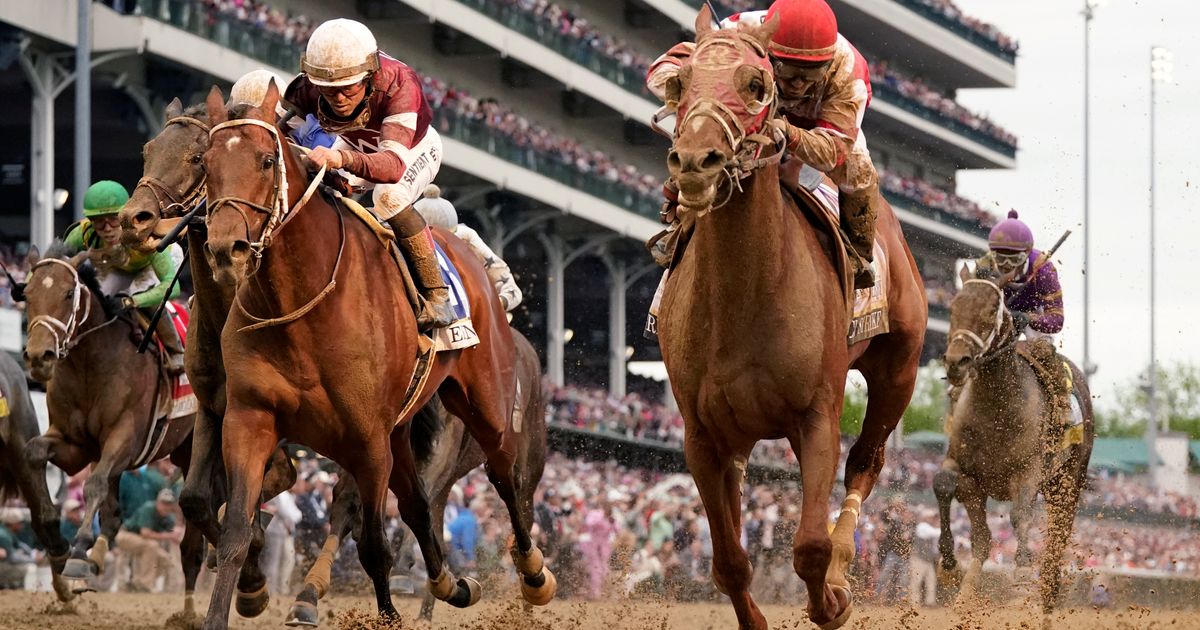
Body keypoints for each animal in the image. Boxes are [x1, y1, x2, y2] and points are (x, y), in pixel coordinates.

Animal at [19, 246, 204, 619]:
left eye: (68, 293)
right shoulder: (74, 444)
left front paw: (77, 554)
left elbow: (94, 484)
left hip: (195, 449)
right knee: (115, 515)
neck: (90, 363)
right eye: (27, 294)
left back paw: (191, 611)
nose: (38, 357)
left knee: (196, 535)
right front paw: (57, 544)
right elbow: (33, 452)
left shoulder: (125, 439)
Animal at [198, 84, 552, 628]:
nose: (226, 249)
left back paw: (533, 576)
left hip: (487, 407)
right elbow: (236, 531)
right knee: (419, 505)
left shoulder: (365, 440)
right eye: (205, 162)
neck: (301, 303)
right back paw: (451, 584)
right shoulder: (249, 419)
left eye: (265, 160)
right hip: (401, 429)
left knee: (505, 477)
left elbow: (371, 544)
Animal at [657, 6, 926, 628]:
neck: (743, 297)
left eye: (756, 85)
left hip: (898, 371)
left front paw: (833, 599)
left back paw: (845, 563)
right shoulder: (701, 435)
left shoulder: (816, 414)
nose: (694, 163)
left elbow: (808, 545)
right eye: (683, 83)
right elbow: (729, 560)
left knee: (865, 462)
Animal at [936, 264, 1099, 609]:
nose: (957, 362)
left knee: (1056, 541)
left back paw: (1047, 593)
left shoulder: (1029, 470)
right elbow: (943, 486)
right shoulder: (963, 468)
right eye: (954, 307)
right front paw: (948, 566)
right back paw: (966, 594)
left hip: (1067, 483)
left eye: (990, 311)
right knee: (983, 540)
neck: (996, 411)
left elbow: (1020, 515)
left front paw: (1022, 575)